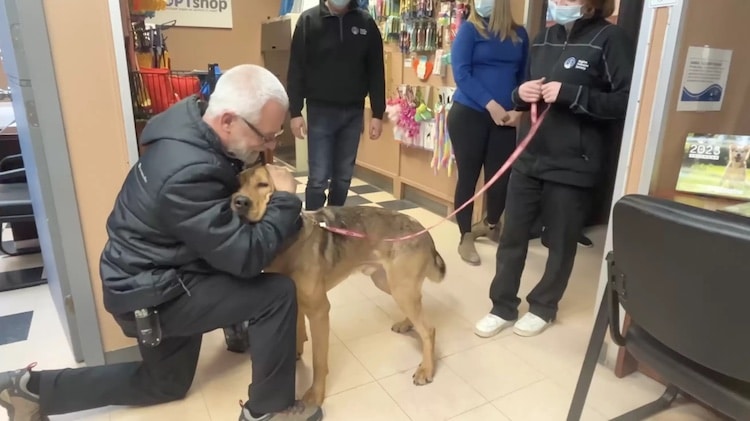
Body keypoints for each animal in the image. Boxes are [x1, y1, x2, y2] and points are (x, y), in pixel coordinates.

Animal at [232, 164, 450, 404]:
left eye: (263, 184)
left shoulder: (319, 312)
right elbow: (297, 333)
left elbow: (319, 360)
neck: (287, 241)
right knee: (418, 310)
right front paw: (295, 356)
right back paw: (406, 323)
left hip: (400, 288)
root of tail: (424, 231)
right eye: (237, 183)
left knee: (428, 330)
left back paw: (426, 369)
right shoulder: (295, 300)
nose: (238, 202)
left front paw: (315, 394)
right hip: (388, 283)